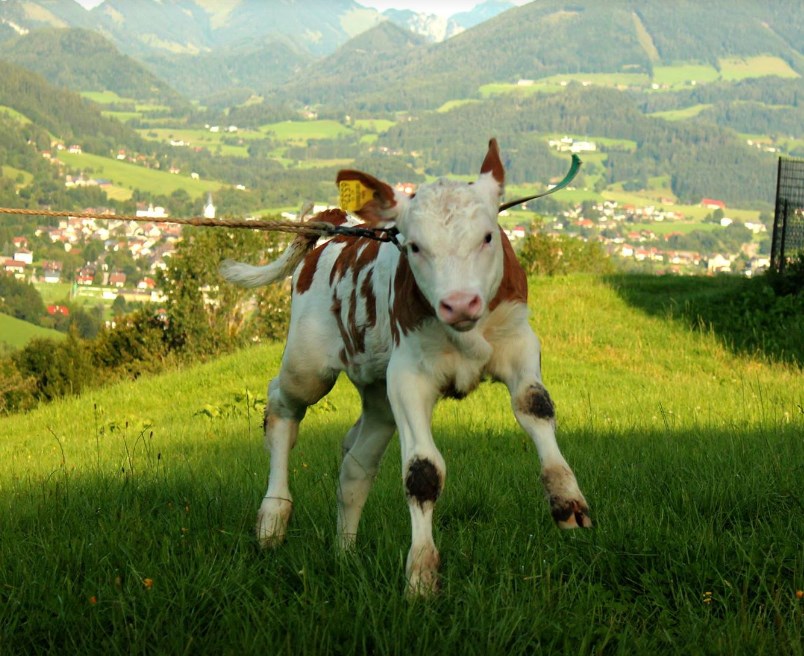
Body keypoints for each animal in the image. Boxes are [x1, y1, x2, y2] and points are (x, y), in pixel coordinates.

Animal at [220, 139, 591, 595]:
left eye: (487, 237)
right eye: (414, 246)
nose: (459, 303)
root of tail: (337, 223)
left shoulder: (519, 342)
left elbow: (535, 407)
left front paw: (566, 498)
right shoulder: (408, 376)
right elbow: (423, 471)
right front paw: (421, 573)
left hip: (377, 389)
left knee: (355, 464)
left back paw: (344, 553)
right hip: (308, 365)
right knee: (281, 408)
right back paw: (273, 516)